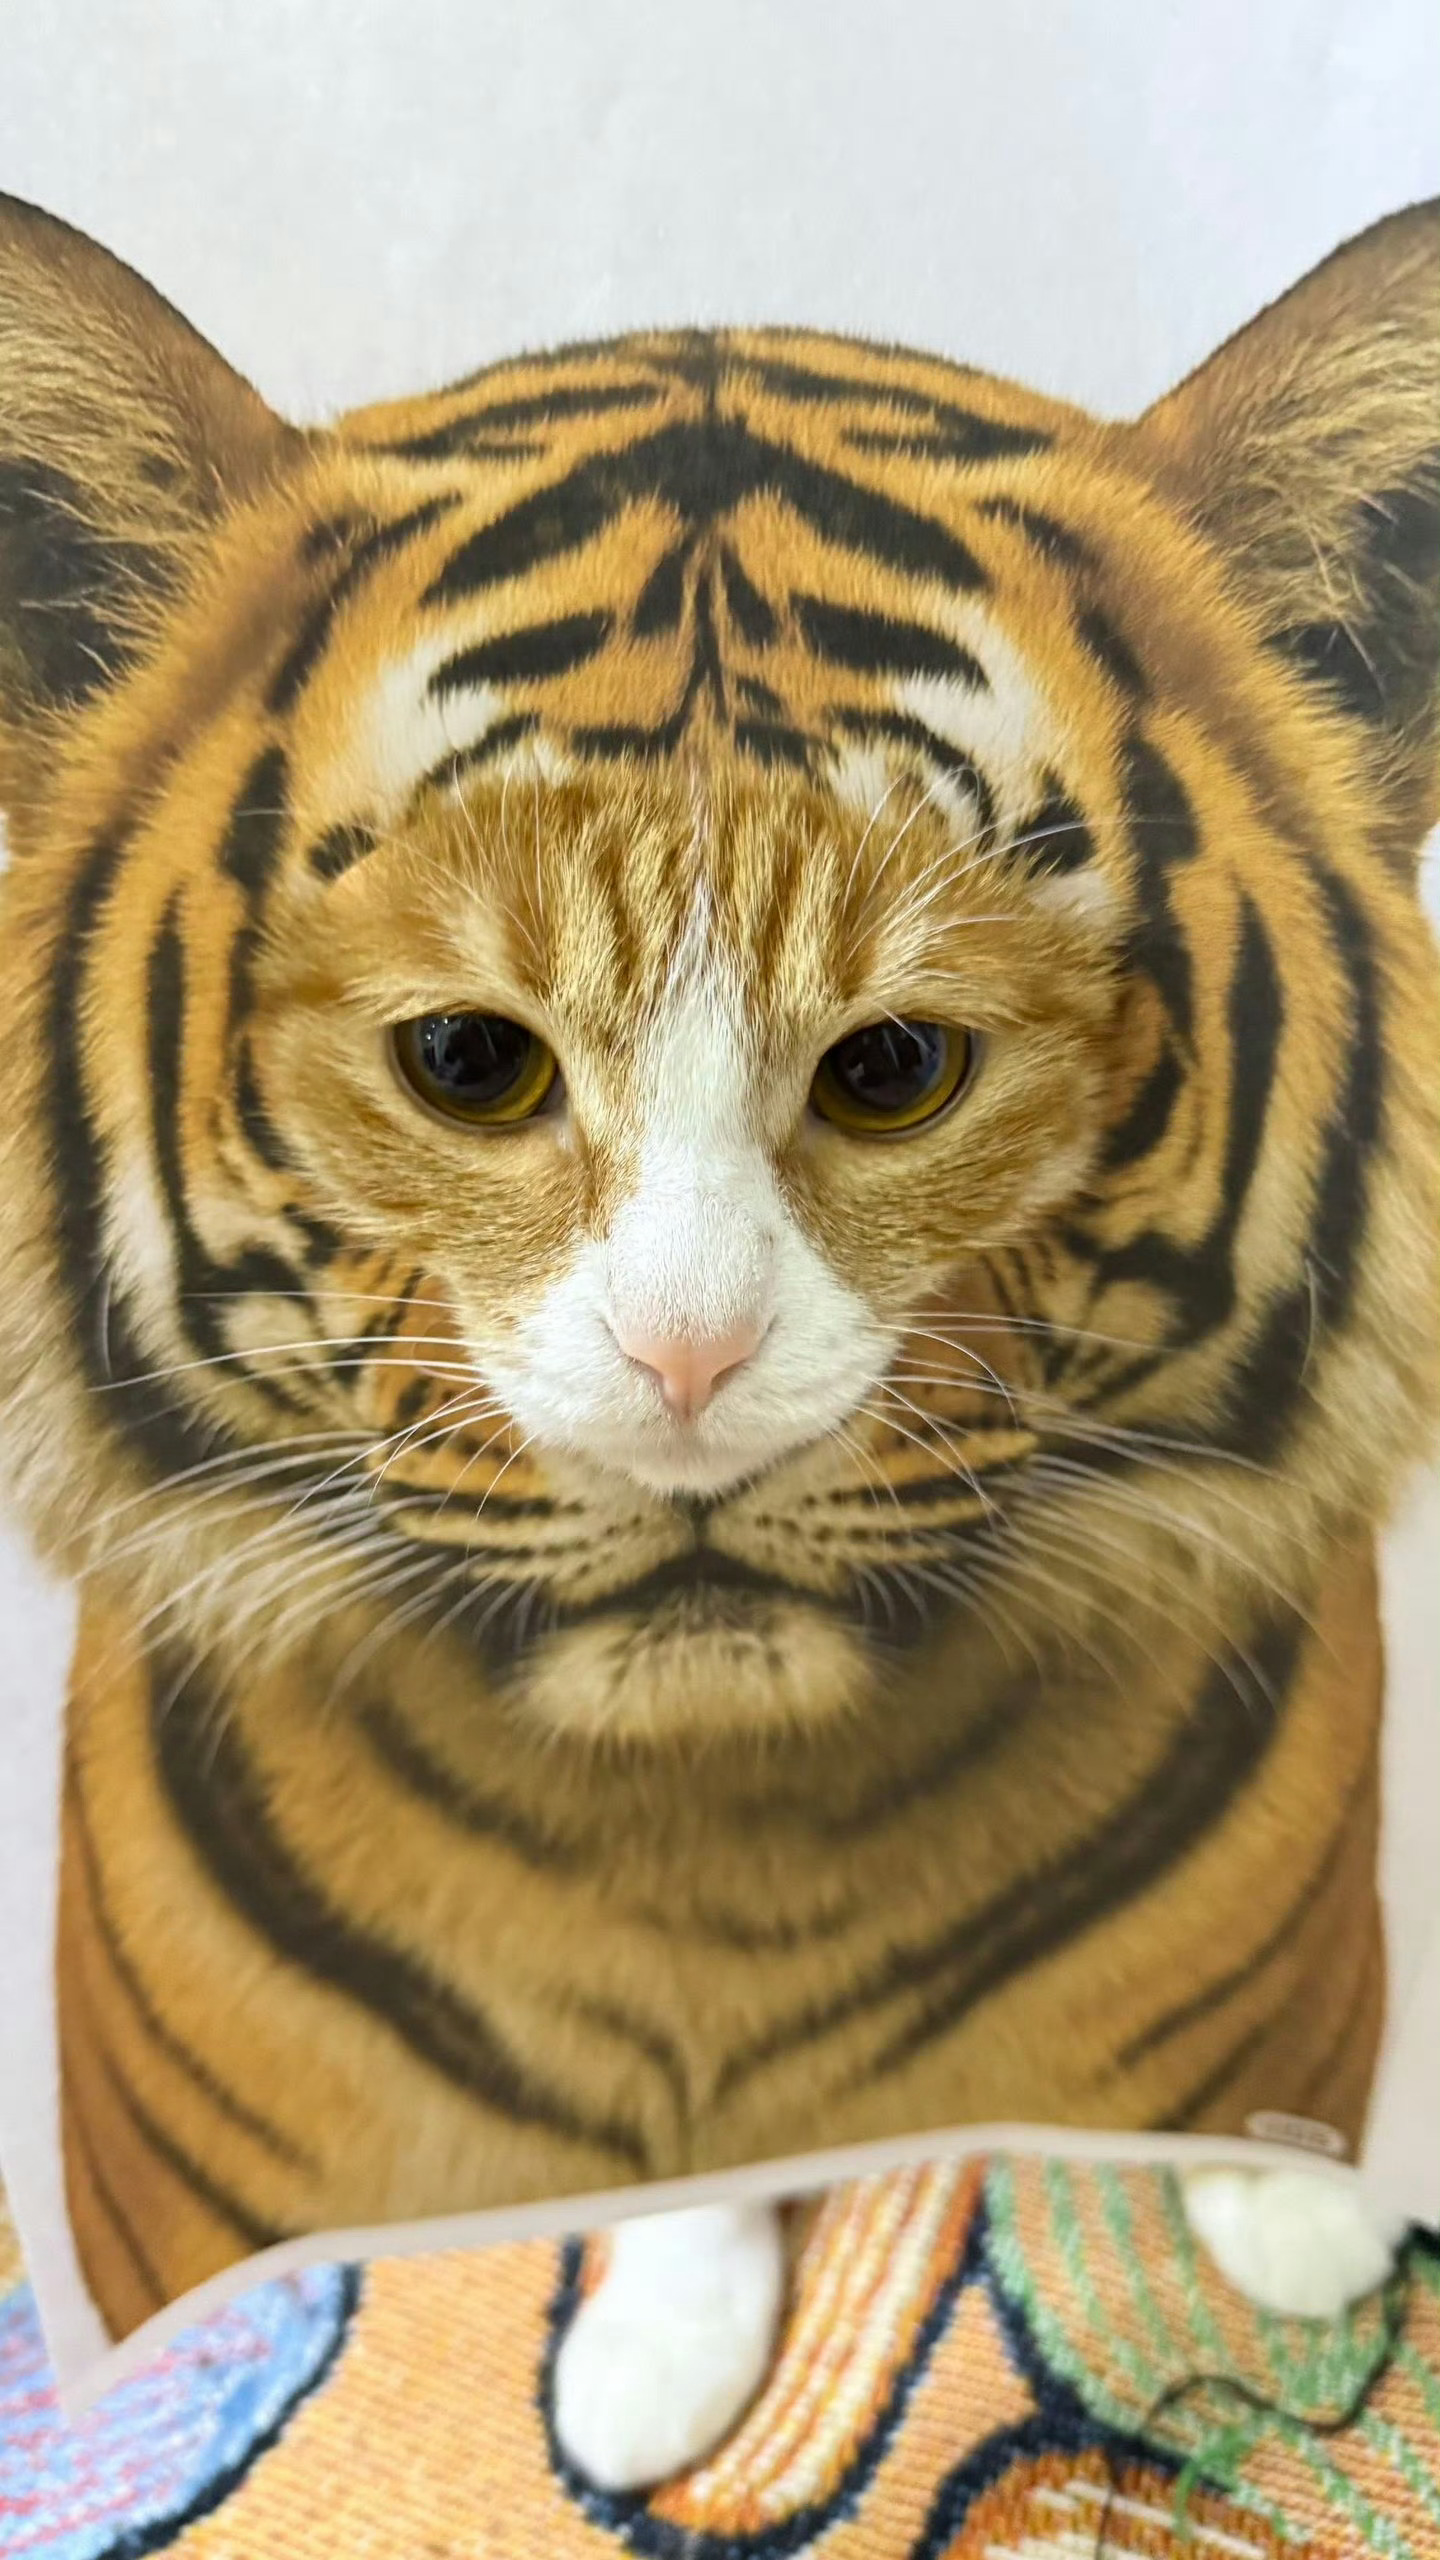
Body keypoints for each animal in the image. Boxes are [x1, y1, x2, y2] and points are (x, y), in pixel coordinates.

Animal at [0, 188, 1436, 2490]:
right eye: (472, 1060)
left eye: (900, 1066)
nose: (689, 1379)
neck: (720, 1864)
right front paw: (661, 2355)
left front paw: (1288, 2200)